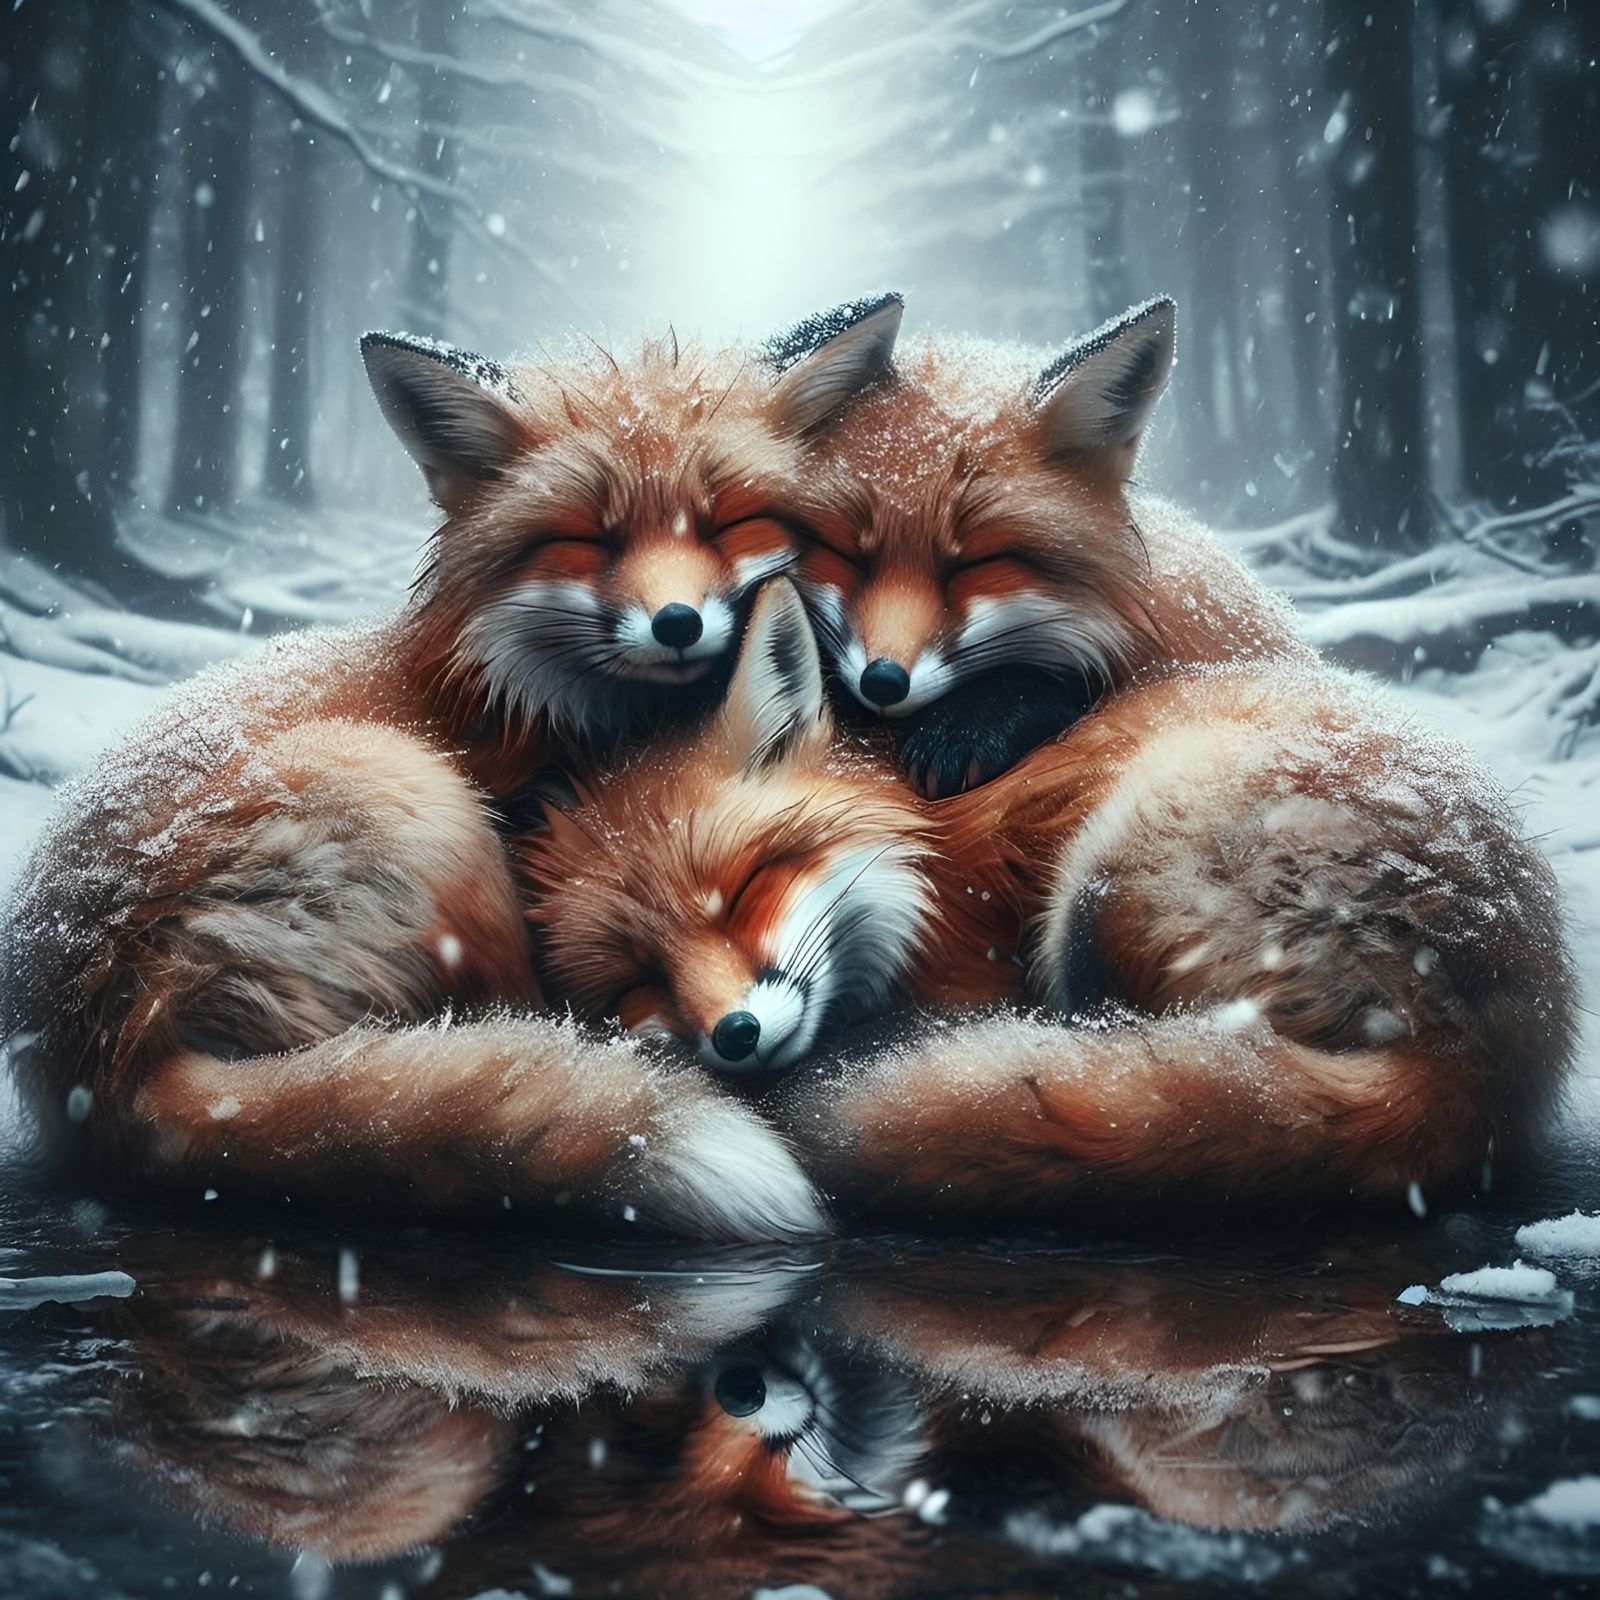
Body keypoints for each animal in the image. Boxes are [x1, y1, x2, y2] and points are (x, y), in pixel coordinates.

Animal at [522, 576, 1574, 1208]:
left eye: (744, 890)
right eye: (638, 978)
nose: (733, 1037)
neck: (927, 863)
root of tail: (1505, 1042)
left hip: (1104, 881)